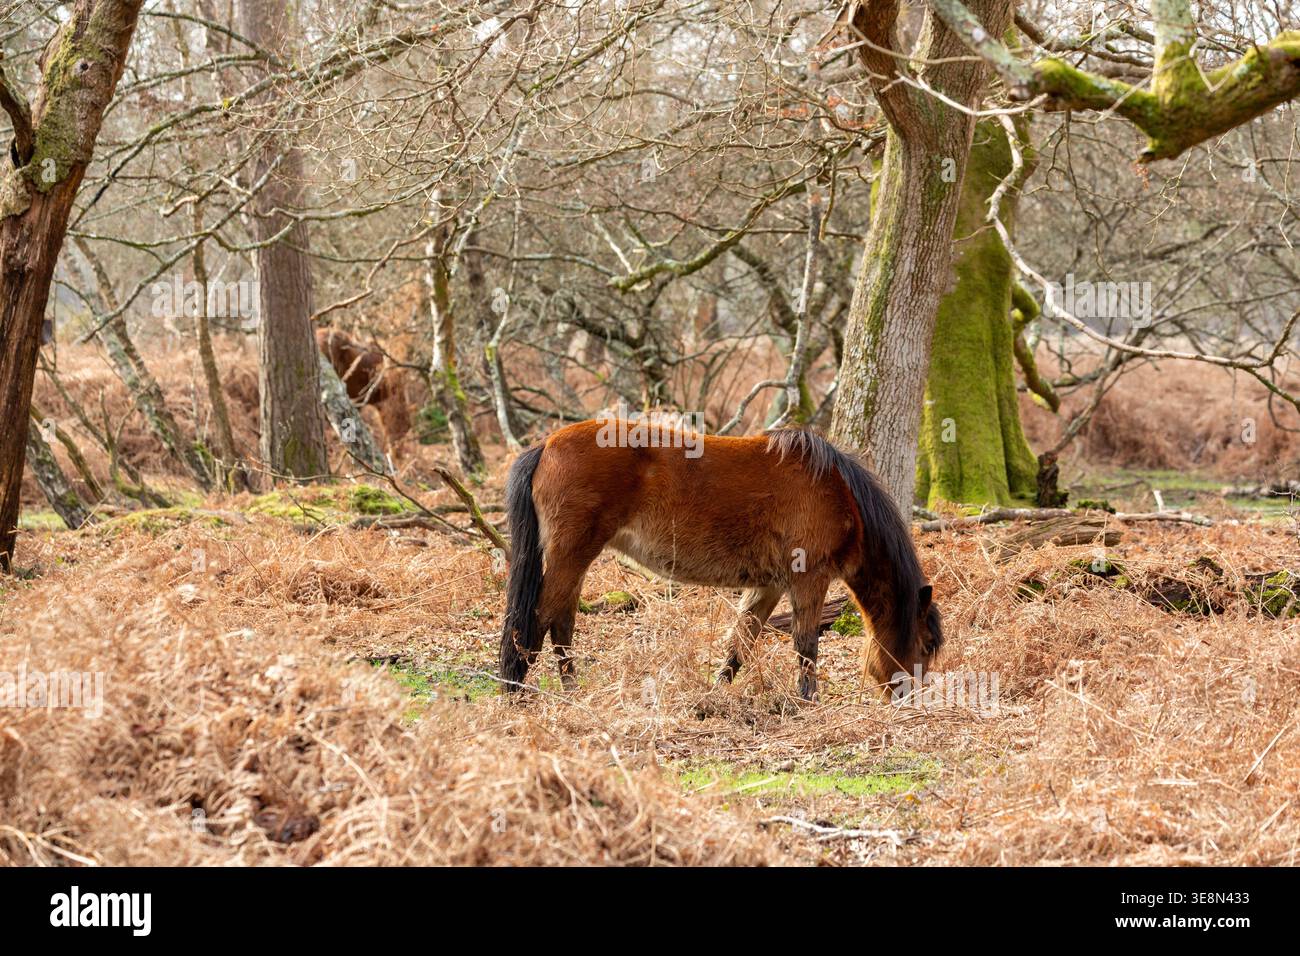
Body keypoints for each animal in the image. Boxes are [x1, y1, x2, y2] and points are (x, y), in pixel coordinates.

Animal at [498, 419, 942, 701]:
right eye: (923, 645)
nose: (911, 702)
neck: (837, 492)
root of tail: (545, 446)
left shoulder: (769, 586)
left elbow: (740, 643)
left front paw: (714, 696)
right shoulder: (808, 580)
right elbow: (806, 645)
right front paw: (809, 702)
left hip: (575, 560)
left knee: (561, 625)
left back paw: (571, 692)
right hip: (571, 556)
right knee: (537, 622)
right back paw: (515, 693)